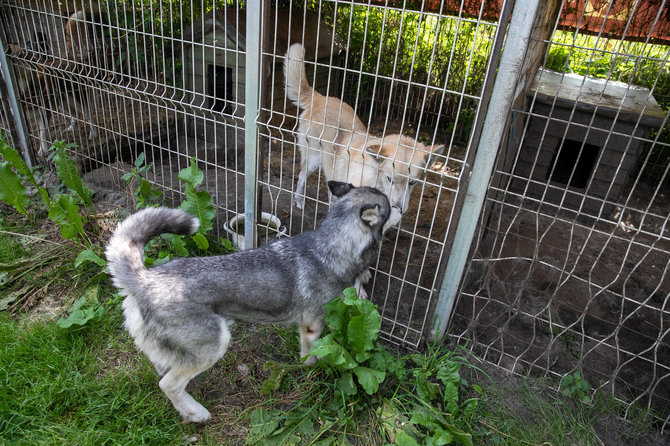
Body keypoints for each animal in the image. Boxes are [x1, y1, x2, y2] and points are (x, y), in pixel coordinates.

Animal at [107, 180, 392, 422]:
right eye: (391, 207)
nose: (400, 205)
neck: (331, 246)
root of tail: (145, 278)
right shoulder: (312, 326)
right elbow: (311, 355)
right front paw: (313, 370)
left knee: (164, 369)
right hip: (215, 343)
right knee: (168, 384)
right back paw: (196, 413)